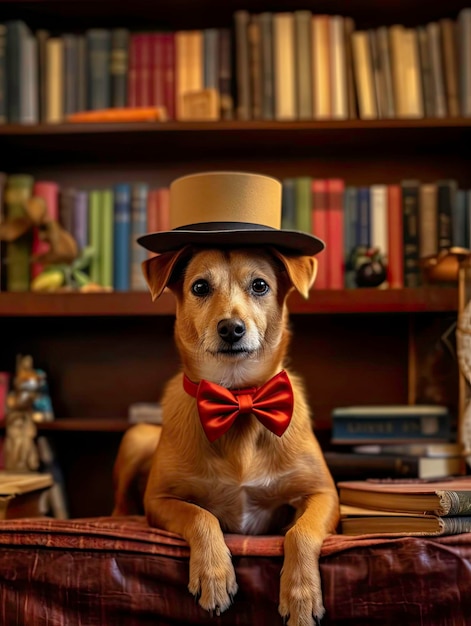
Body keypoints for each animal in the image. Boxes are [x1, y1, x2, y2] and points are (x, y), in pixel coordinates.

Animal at [114, 244, 342, 624]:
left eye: (260, 285)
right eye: (200, 287)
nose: (231, 328)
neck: (238, 398)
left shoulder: (323, 494)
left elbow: (301, 532)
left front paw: (301, 595)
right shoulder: (158, 500)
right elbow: (201, 516)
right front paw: (213, 575)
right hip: (138, 438)